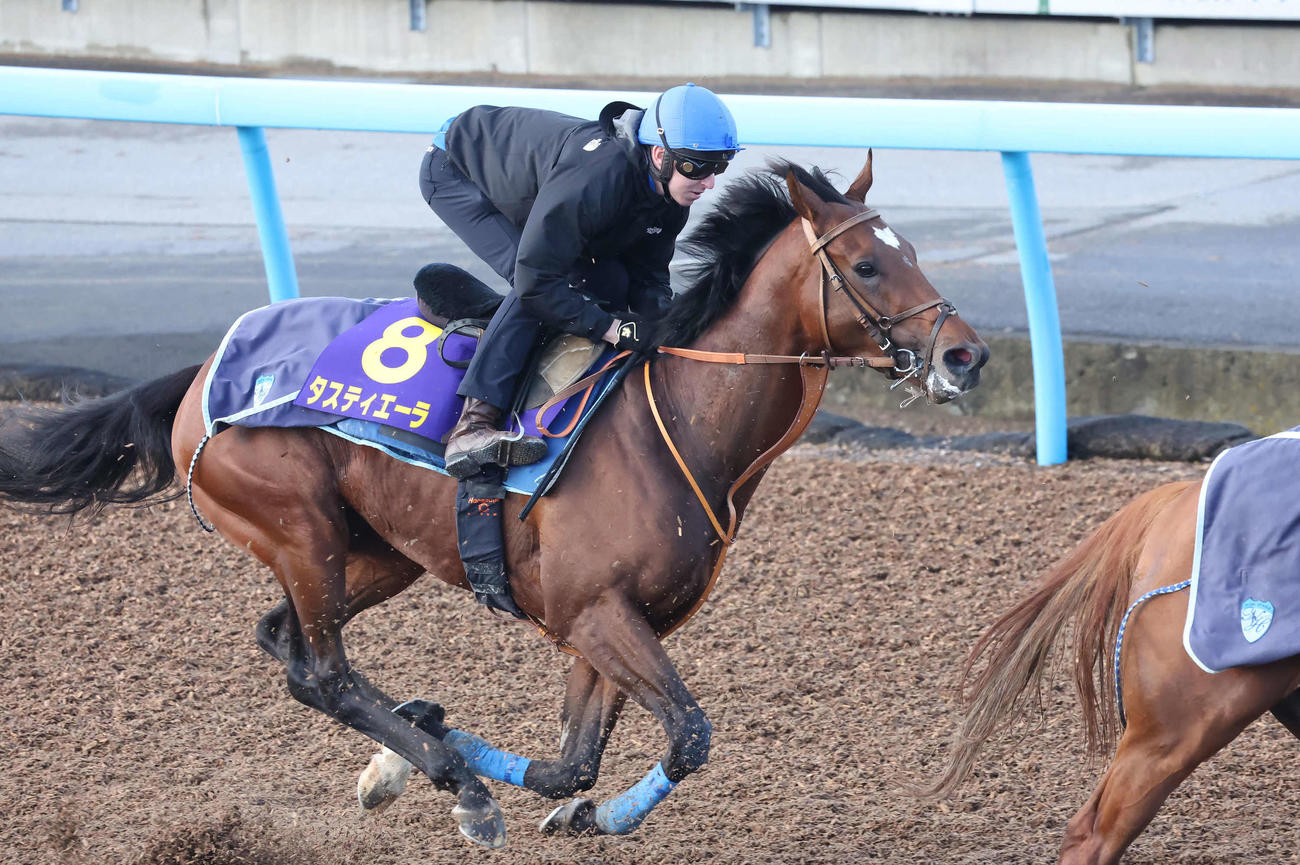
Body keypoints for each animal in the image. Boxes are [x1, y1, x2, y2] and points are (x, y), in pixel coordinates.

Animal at [0, 155, 987, 849]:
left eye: (912, 251)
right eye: (866, 264)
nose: (965, 355)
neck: (681, 422)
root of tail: (206, 367)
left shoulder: (607, 624)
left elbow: (571, 765)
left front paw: (546, 796)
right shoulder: (595, 612)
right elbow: (688, 732)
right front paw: (489, 783)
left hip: (375, 550)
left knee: (285, 642)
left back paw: (421, 742)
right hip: (299, 525)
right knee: (321, 669)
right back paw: (456, 781)